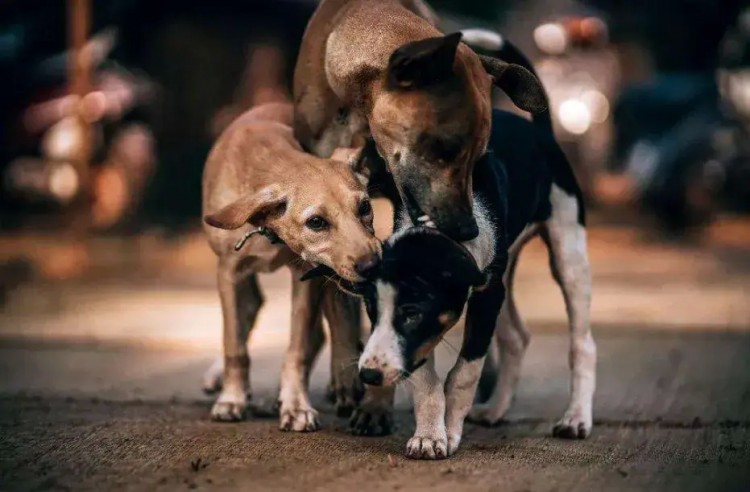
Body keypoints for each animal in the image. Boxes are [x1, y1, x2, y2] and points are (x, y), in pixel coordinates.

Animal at [203, 103, 388, 430]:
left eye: (365, 207)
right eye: (316, 222)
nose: (372, 265)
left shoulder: (306, 276)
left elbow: (297, 350)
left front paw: (296, 406)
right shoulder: (229, 273)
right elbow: (234, 344)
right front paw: (232, 399)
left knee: (326, 331)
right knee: (249, 314)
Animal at [352, 39, 600, 462]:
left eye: (412, 312)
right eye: (370, 310)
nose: (368, 374)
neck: (441, 227)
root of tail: (540, 130)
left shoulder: (485, 294)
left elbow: (464, 374)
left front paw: (449, 432)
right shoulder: (478, 296)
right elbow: (426, 378)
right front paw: (429, 435)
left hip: (568, 252)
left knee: (582, 345)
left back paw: (576, 418)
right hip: (508, 268)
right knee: (516, 337)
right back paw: (497, 409)